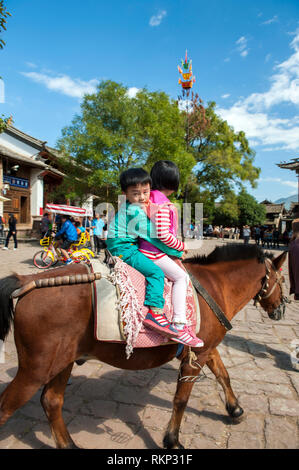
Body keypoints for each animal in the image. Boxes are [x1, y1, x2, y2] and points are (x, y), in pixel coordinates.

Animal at [0, 244, 288, 450]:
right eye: (284, 280)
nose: (282, 308)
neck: (215, 286)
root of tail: (25, 281)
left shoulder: (206, 348)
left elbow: (223, 375)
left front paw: (235, 408)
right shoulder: (197, 356)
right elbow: (181, 399)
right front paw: (172, 440)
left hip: (62, 362)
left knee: (51, 402)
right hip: (35, 370)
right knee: (6, 407)